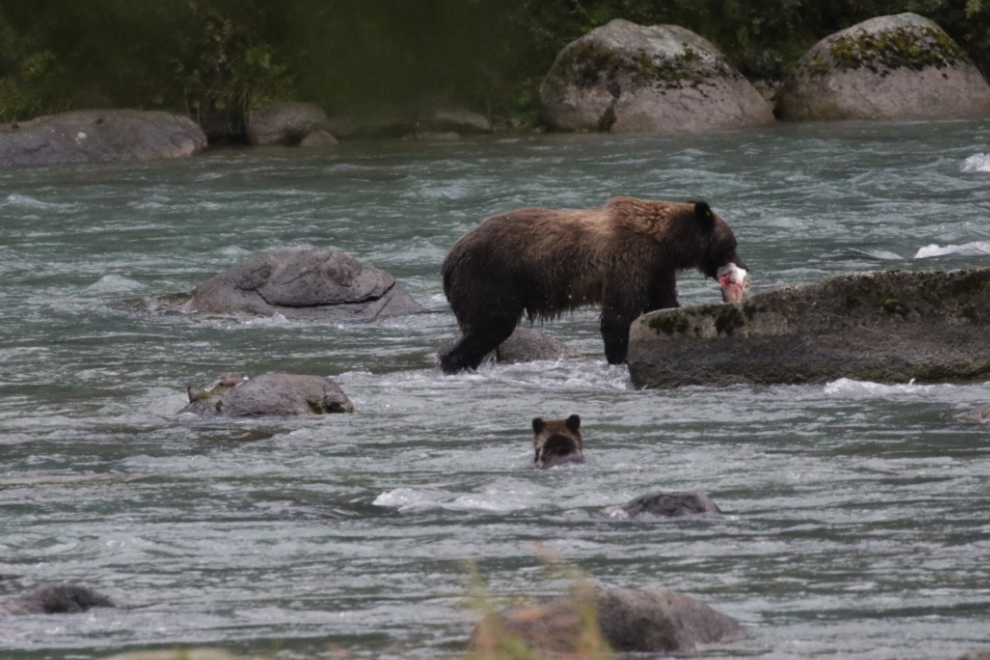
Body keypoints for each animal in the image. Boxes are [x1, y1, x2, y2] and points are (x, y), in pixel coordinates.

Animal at [438, 195, 748, 372]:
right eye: (732, 243)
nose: (743, 265)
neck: (664, 242)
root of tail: (448, 261)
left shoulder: (657, 268)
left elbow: (663, 304)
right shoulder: (628, 260)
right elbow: (618, 315)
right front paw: (620, 357)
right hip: (490, 278)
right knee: (492, 325)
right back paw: (454, 362)